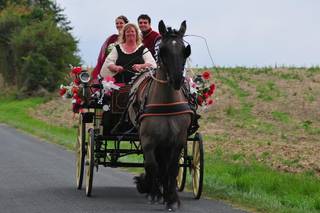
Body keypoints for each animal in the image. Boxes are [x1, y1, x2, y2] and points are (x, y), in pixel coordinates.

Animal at [128, 20, 192, 211]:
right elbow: (152, 165)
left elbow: (172, 168)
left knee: (165, 167)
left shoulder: (178, 140)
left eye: (185, 50)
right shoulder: (148, 140)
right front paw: (155, 193)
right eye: (162, 50)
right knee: (155, 165)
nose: (177, 79)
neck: (166, 104)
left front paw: (171, 199)